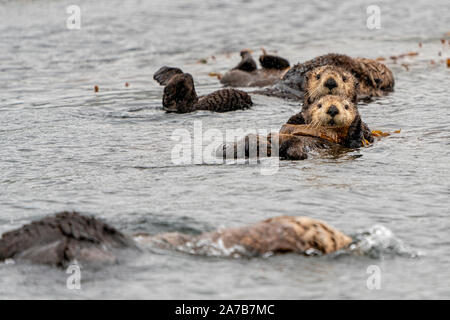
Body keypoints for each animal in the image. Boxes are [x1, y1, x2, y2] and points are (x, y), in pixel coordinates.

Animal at [222, 94, 370, 160]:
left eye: (346, 106)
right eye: (319, 105)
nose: (333, 109)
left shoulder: (350, 143)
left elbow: (354, 141)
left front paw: (357, 120)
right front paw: (298, 116)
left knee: (295, 152)